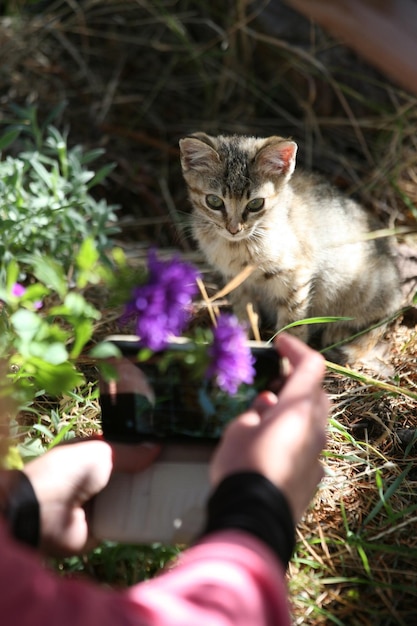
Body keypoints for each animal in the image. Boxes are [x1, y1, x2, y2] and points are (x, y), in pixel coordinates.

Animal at [178, 132, 400, 366]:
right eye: (213, 201)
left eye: (256, 204)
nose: (234, 229)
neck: (238, 246)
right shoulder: (237, 281)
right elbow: (244, 313)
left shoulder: (296, 278)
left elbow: (292, 326)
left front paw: (290, 359)